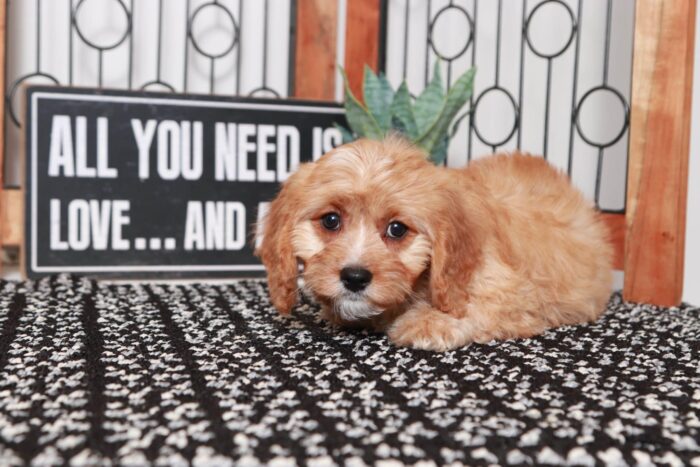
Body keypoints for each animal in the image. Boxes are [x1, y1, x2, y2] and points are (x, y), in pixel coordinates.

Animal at [254, 135, 608, 352]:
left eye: (397, 229)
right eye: (330, 220)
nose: (354, 278)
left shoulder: (515, 293)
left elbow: (475, 306)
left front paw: (428, 322)